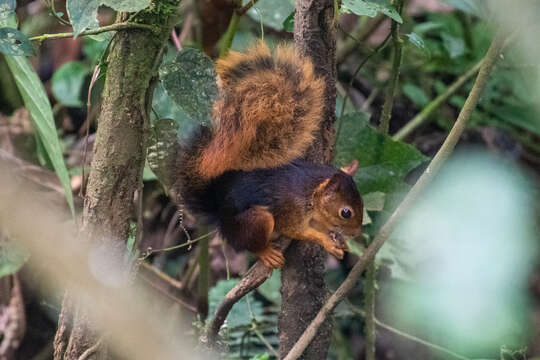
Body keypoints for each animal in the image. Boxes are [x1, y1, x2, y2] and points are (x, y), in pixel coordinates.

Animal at [176, 41, 362, 268]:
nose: (357, 233)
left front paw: (339, 239)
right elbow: (298, 231)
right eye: (346, 212)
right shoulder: (290, 209)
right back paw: (266, 252)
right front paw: (326, 241)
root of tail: (219, 211)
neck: (309, 190)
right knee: (249, 243)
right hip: (256, 221)